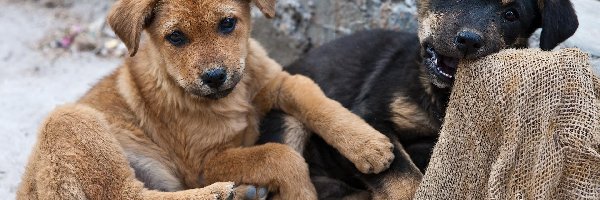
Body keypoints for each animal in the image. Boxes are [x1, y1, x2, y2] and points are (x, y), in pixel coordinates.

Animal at [32, 0, 394, 198]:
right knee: (128, 194)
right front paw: (301, 194)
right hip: (70, 121)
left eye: (228, 23)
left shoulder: (278, 81)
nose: (215, 76)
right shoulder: (202, 164)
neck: (232, 98)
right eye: (176, 37)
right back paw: (221, 193)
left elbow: (316, 99)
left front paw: (368, 145)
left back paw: (244, 193)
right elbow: (279, 154)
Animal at [260, 0, 580, 198]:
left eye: (511, 14)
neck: (443, 97)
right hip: (290, 123)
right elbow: (402, 176)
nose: (469, 41)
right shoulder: (367, 117)